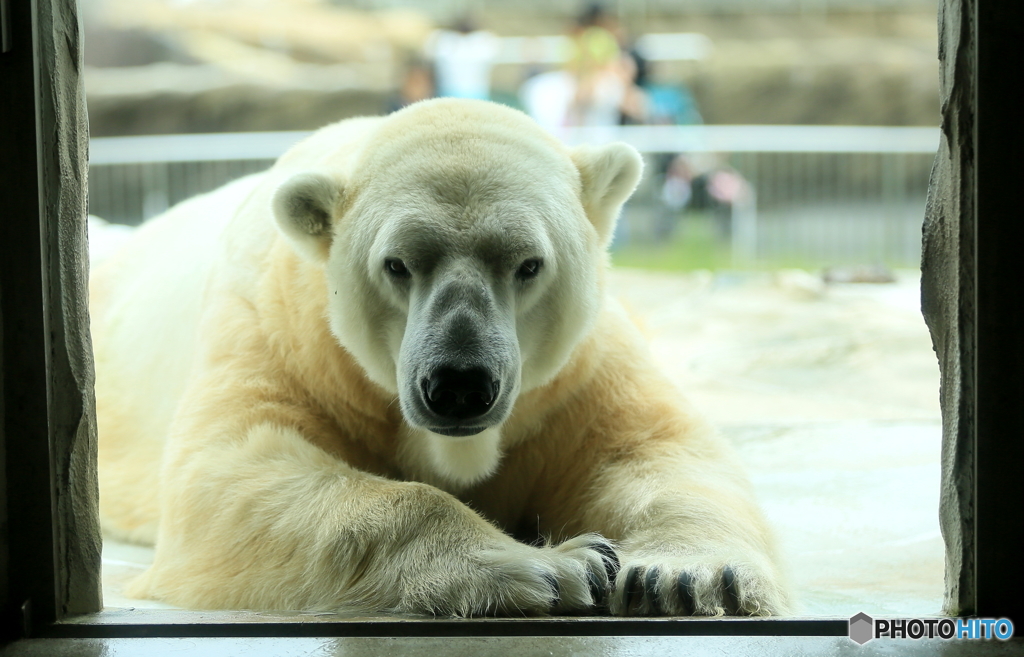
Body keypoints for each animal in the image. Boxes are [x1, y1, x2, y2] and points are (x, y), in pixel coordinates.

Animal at [90, 97, 790, 614]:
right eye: (397, 264)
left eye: (529, 264)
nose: (458, 384)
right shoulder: (279, 338)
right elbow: (230, 475)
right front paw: (554, 566)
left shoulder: (579, 375)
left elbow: (653, 449)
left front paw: (685, 577)